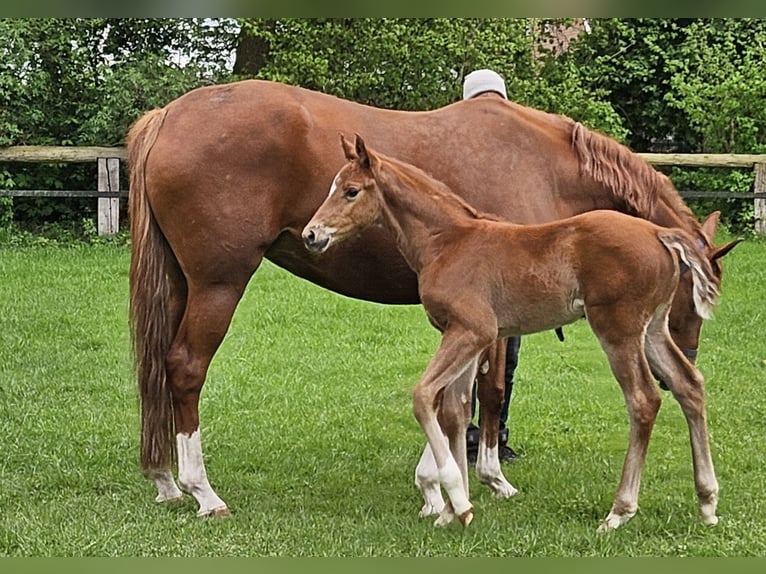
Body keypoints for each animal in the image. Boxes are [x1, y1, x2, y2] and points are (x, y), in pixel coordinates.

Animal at [129, 79, 740, 520]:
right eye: (696, 303)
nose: (685, 358)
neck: (544, 164)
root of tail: (171, 115)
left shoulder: (476, 321)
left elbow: (460, 397)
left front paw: (447, 484)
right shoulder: (492, 322)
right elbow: (485, 394)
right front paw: (483, 479)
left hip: (182, 283)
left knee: (159, 369)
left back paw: (164, 480)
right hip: (218, 285)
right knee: (185, 369)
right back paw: (202, 491)